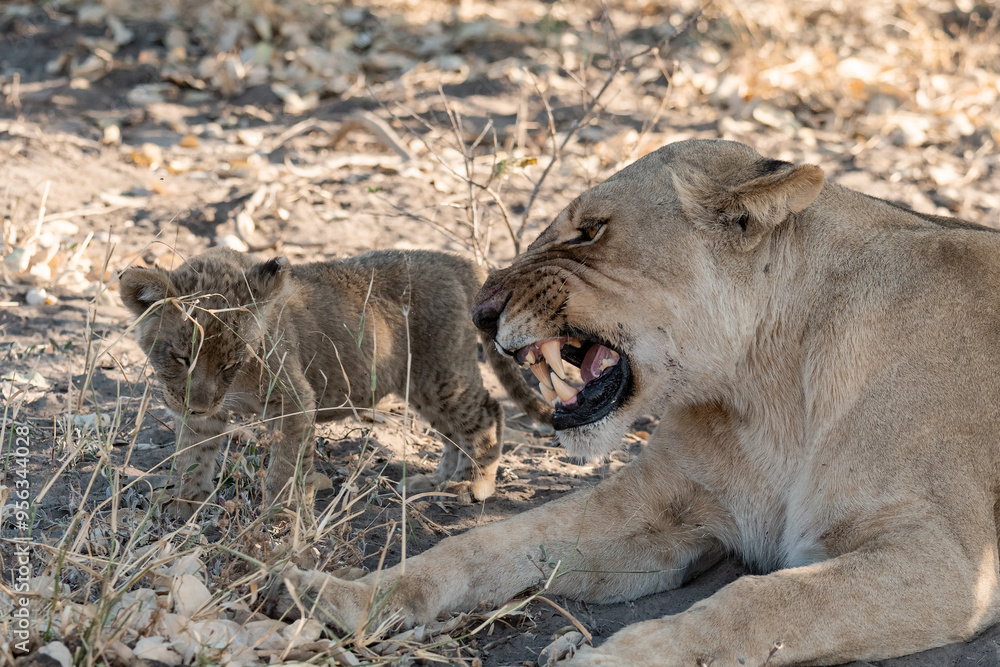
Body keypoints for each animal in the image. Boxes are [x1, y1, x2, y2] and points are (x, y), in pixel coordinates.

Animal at [119, 248, 550, 518]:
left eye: (232, 362)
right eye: (182, 357)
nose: (197, 405)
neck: (233, 386)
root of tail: (460, 262)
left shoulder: (295, 399)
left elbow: (284, 469)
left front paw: (280, 517)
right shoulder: (205, 414)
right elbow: (193, 456)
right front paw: (185, 503)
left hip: (441, 373)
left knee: (487, 413)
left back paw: (472, 485)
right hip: (422, 385)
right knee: (454, 431)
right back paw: (436, 480)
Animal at [265, 139, 1000, 666]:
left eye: (590, 231)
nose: (480, 311)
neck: (763, 390)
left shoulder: (946, 561)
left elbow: (759, 602)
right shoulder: (660, 510)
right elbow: (491, 542)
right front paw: (346, 596)